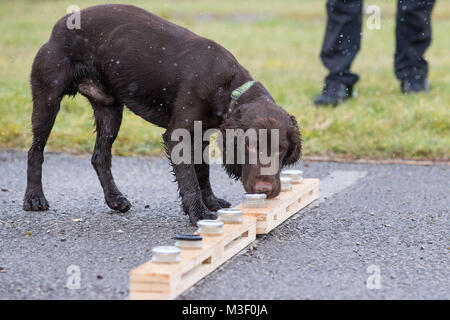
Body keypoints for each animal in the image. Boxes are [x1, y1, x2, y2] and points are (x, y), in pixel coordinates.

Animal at [22, 4, 300, 225]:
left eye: (281, 149)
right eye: (249, 146)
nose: (264, 190)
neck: (229, 87)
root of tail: (60, 24)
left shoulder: (201, 135)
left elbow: (202, 172)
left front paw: (210, 201)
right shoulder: (178, 135)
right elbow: (189, 178)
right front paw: (198, 213)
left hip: (110, 110)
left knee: (100, 157)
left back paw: (115, 199)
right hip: (48, 100)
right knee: (36, 151)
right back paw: (34, 198)